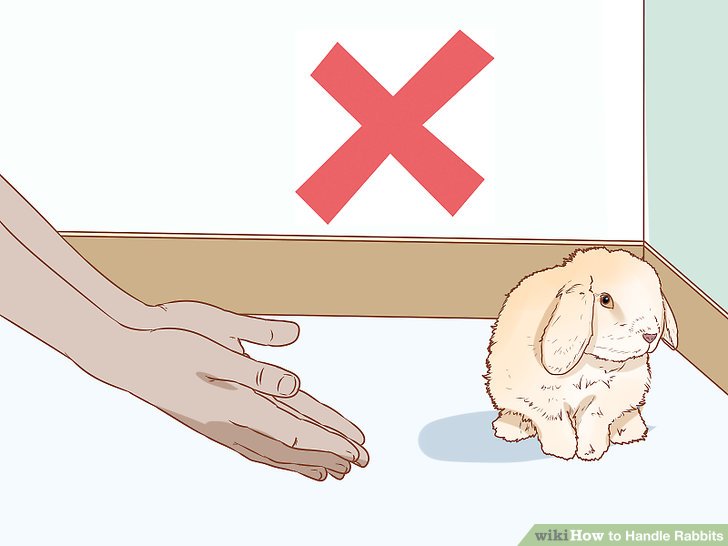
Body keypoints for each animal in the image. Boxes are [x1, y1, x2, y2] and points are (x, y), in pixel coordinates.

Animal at [484, 247, 678, 461]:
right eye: (605, 300)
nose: (651, 335)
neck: (590, 363)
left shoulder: (606, 399)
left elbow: (593, 422)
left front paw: (590, 453)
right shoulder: (545, 401)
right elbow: (556, 423)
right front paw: (563, 452)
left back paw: (630, 432)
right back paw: (509, 429)